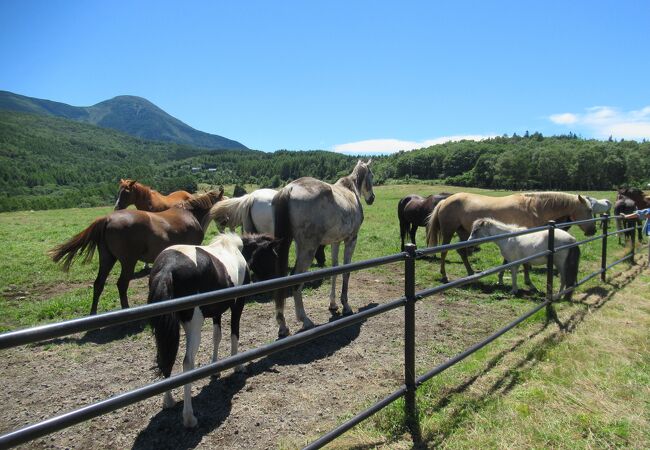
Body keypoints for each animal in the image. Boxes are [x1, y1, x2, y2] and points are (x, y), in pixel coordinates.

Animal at [49, 189, 224, 312]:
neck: (189, 213)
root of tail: (107, 219)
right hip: (128, 261)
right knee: (122, 284)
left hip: (107, 259)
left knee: (99, 284)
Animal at [148, 234, 280, 428]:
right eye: (273, 256)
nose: (277, 280)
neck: (236, 249)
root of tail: (167, 268)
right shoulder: (237, 304)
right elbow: (234, 334)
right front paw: (237, 365)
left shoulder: (217, 310)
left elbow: (216, 337)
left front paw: (215, 369)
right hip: (194, 325)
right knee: (187, 363)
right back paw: (189, 417)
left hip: (165, 330)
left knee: (166, 359)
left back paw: (168, 401)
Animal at [426, 192, 592, 284]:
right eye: (589, 210)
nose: (593, 230)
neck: (533, 208)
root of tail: (444, 201)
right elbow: (521, 261)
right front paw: (526, 280)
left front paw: (503, 277)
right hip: (448, 232)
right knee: (444, 252)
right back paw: (444, 275)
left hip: (464, 233)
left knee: (462, 252)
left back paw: (471, 272)